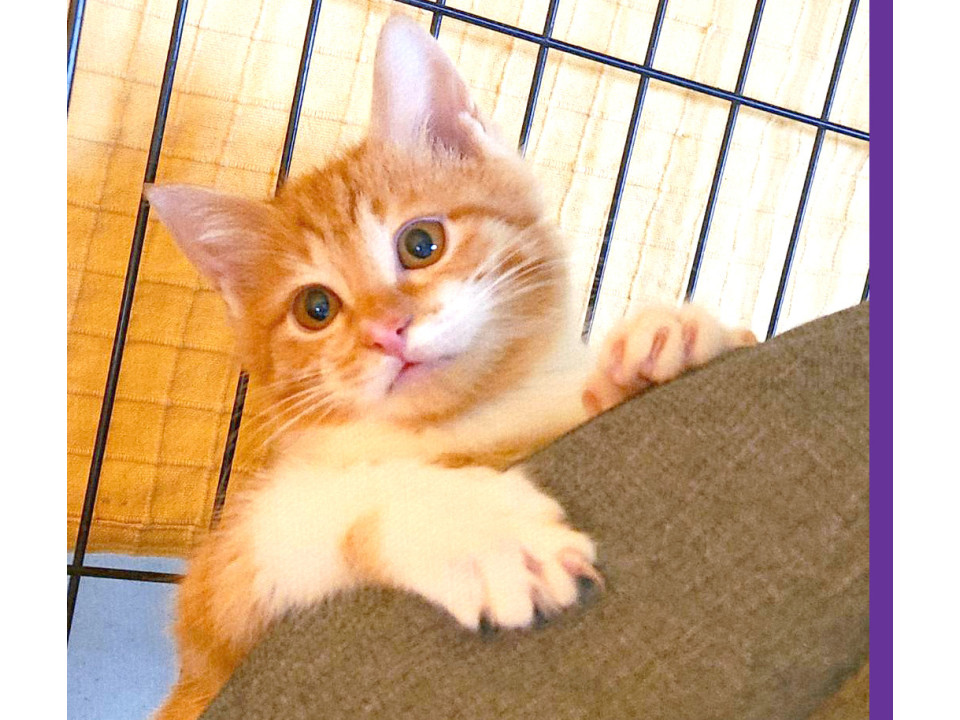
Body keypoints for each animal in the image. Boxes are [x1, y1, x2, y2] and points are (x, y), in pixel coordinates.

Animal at [145, 16, 756, 720]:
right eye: (315, 308)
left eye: (421, 243)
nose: (387, 332)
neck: (469, 421)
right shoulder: (212, 618)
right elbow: (313, 508)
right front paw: (480, 533)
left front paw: (668, 341)